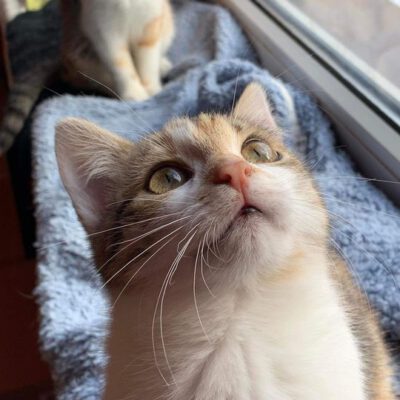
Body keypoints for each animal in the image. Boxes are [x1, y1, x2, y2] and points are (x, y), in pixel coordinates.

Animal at [0, 0, 174, 153]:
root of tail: (61, 60)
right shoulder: (102, 28)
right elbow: (120, 63)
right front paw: (134, 93)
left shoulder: (151, 20)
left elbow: (148, 60)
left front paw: (152, 88)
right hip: (79, 51)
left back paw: (162, 65)